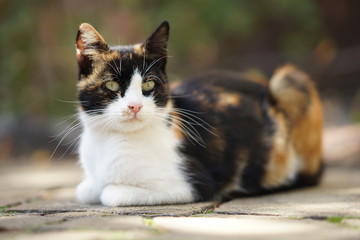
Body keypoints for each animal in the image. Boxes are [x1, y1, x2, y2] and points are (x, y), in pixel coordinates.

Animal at [74, 21, 322, 207]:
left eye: (148, 84)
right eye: (112, 85)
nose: (135, 106)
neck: (111, 141)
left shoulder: (194, 184)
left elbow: (110, 193)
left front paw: (108, 189)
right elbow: (85, 190)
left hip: (289, 83)